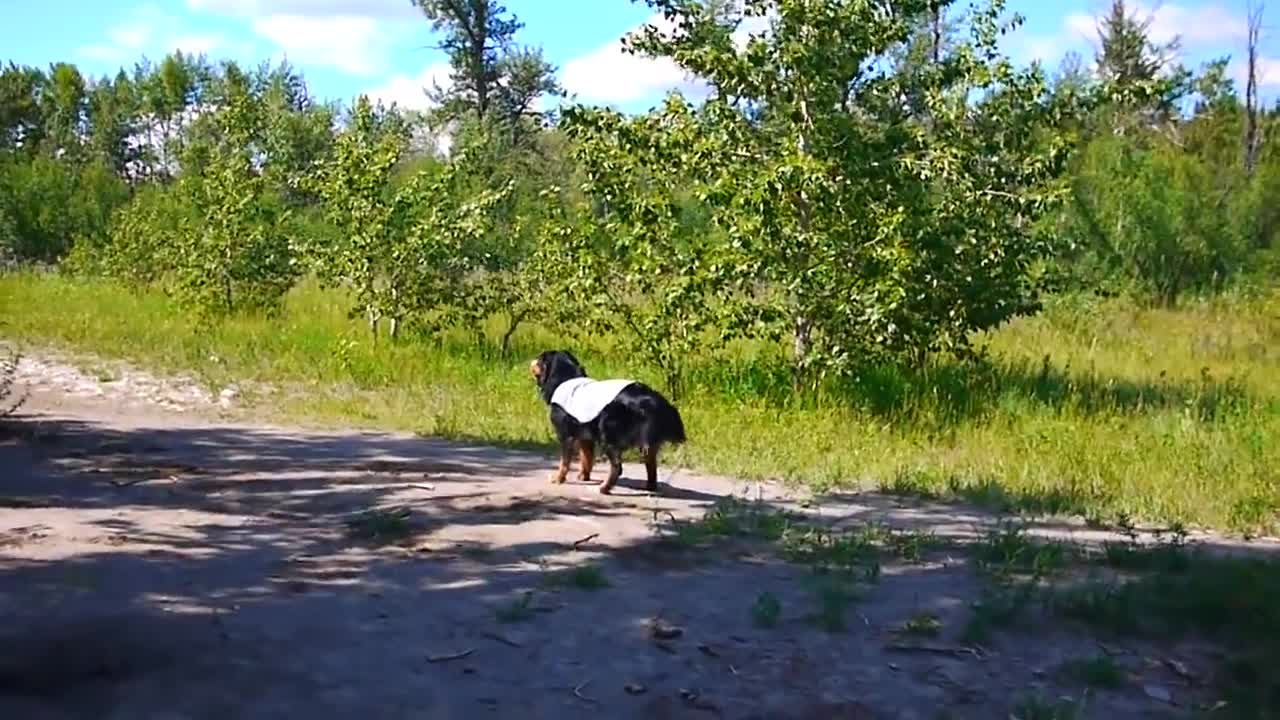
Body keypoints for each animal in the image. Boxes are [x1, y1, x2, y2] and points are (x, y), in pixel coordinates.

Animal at [529, 348, 691, 491]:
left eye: (540, 359)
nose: (532, 361)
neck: (566, 378)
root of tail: (653, 399)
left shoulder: (565, 435)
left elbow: (564, 462)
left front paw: (559, 479)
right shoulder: (585, 436)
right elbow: (586, 458)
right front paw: (584, 476)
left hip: (608, 436)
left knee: (617, 467)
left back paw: (604, 488)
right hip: (645, 443)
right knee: (651, 465)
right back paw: (649, 487)